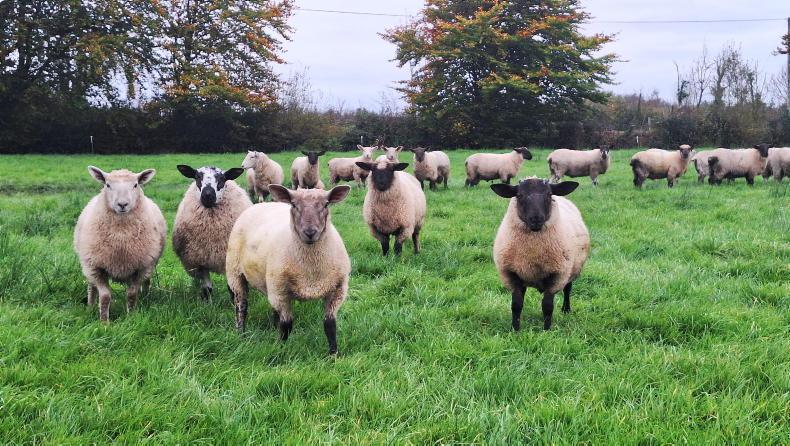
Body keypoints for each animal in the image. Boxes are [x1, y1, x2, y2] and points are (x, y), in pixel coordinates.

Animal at [73, 166, 167, 322]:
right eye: (107, 185)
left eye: (135, 185)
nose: (122, 204)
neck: (121, 235)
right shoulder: (97, 267)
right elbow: (105, 296)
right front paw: (104, 322)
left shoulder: (140, 267)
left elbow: (131, 294)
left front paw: (131, 317)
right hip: (88, 263)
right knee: (91, 287)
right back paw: (90, 307)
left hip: (150, 263)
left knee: (147, 281)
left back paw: (146, 298)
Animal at [172, 165, 252, 302]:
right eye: (197, 177)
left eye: (222, 178)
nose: (208, 195)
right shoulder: (199, 260)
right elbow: (207, 288)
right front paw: (208, 304)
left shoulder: (227, 258)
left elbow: (231, 287)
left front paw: (234, 302)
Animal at [225, 184, 352, 355]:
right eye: (293, 205)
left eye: (326, 205)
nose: (310, 233)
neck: (311, 272)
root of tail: (261, 204)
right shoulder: (281, 292)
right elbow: (287, 325)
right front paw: (280, 349)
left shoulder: (338, 291)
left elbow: (330, 324)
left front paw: (333, 354)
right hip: (235, 273)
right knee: (241, 306)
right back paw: (241, 333)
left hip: (270, 283)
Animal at [490, 178, 589, 331]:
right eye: (519, 195)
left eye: (549, 194)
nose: (536, 219)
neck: (533, 254)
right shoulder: (512, 274)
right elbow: (516, 305)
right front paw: (515, 329)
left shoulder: (556, 274)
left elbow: (547, 306)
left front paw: (546, 330)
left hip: (572, 268)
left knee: (568, 289)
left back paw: (566, 309)